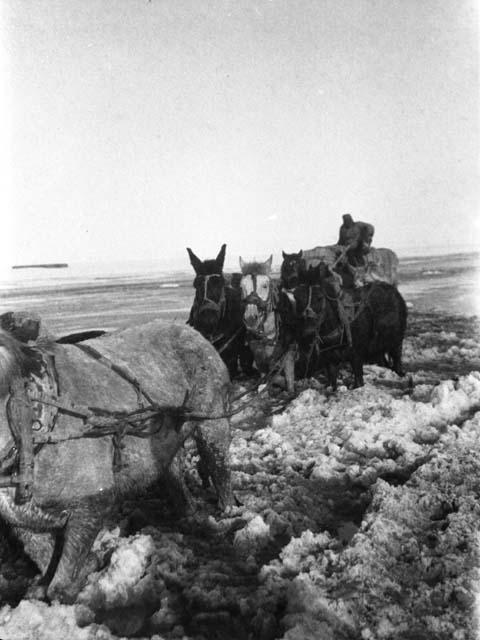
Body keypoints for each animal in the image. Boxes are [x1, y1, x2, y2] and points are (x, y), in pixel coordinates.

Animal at [286, 260, 406, 390]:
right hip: (378, 347)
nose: (306, 332)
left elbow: (358, 380)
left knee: (397, 358)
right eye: (296, 297)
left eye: (319, 297)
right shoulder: (328, 358)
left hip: (396, 341)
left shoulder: (356, 355)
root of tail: (394, 291)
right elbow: (332, 380)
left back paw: (400, 374)